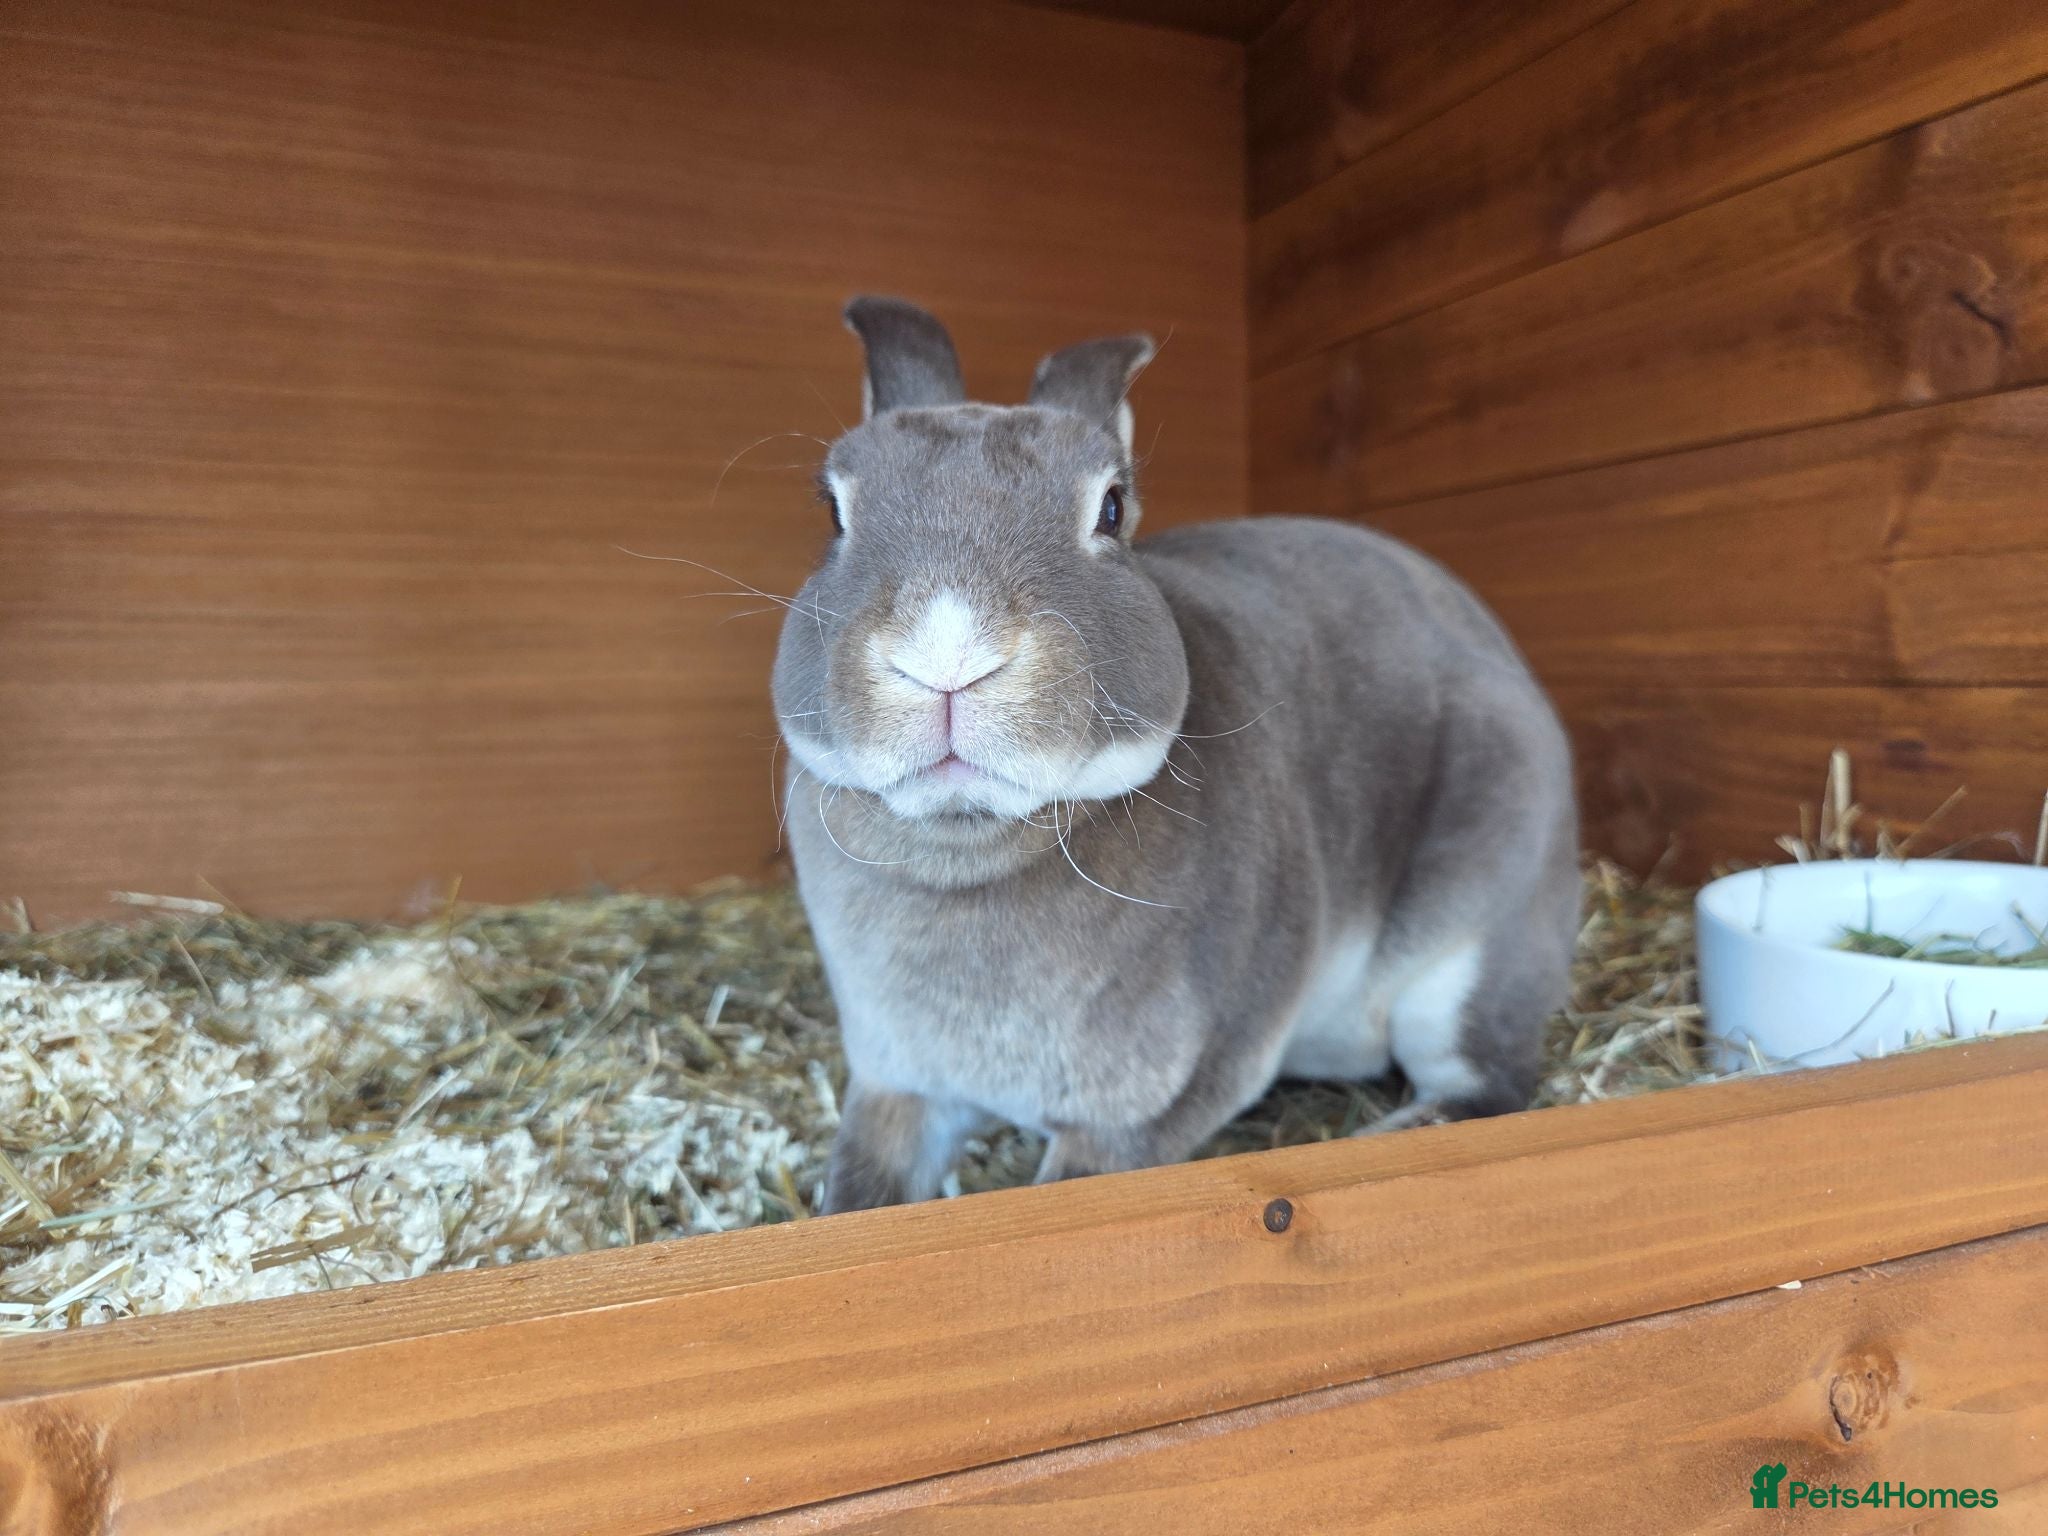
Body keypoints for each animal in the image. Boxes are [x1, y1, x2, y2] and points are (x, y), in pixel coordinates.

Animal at [773, 296, 1580, 1214]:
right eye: (834, 512)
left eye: (1111, 508)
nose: (948, 656)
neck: (966, 849)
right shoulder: (897, 1087)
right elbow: (857, 1196)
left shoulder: (1148, 1107)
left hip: (1473, 937)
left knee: (1484, 1088)